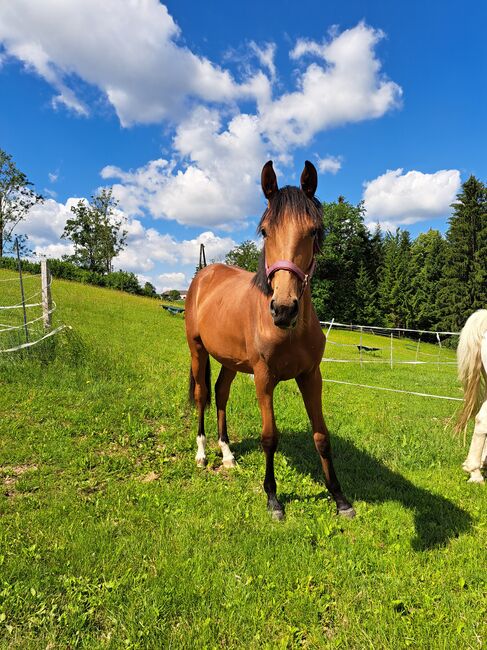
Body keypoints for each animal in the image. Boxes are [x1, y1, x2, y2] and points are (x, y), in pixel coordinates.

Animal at [185, 160, 355, 520]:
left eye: (314, 231)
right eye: (265, 231)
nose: (284, 309)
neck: (289, 331)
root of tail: (204, 275)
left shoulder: (311, 377)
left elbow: (321, 436)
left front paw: (340, 498)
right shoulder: (264, 378)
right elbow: (269, 437)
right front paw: (273, 498)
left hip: (231, 361)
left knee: (220, 393)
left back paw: (228, 454)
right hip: (197, 350)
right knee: (202, 393)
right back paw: (202, 453)